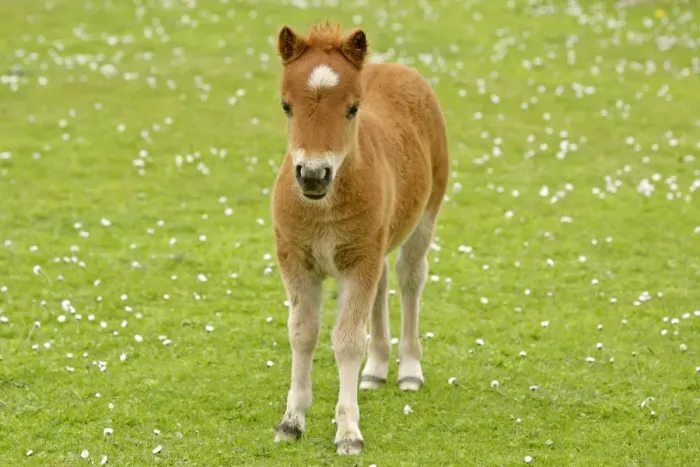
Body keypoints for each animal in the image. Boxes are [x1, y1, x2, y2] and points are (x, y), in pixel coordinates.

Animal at [270, 22, 449, 455]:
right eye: (286, 106)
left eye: (353, 108)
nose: (313, 175)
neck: (322, 210)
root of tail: (399, 67)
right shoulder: (295, 259)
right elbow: (302, 334)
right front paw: (291, 421)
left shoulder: (358, 261)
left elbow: (348, 340)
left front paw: (349, 432)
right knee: (383, 280)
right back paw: (376, 368)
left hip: (425, 215)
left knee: (409, 277)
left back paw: (409, 369)